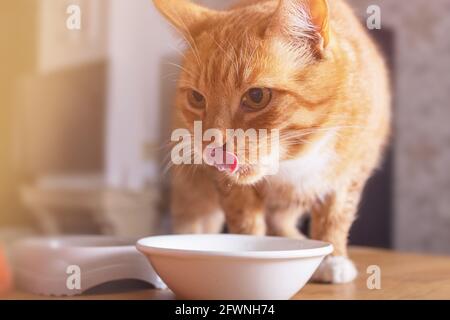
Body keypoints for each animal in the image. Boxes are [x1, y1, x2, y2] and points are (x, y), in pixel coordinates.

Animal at [154, 0, 390, 282]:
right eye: (197, 98)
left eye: (256, 96)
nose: (211, 145)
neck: (296, 158)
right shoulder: (229, 186)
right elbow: (245, 221)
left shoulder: (349, 175)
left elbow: (334, 217)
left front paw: (332, 257)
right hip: (193, 188)